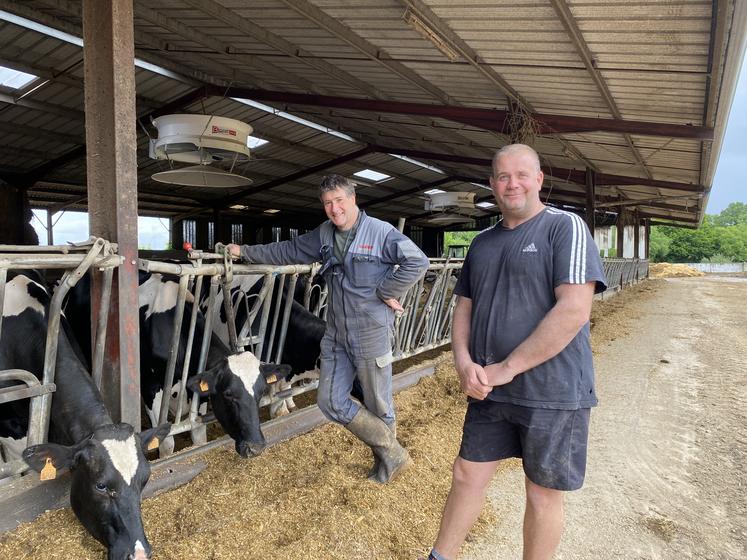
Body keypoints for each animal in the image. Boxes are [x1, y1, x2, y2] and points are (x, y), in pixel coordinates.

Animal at [66, 272, 290, 460]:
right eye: (228, 394)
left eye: (261, 392)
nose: (256, 447)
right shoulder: (150, 388)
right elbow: (167, 444)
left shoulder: (197, 390)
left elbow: (198, 435)